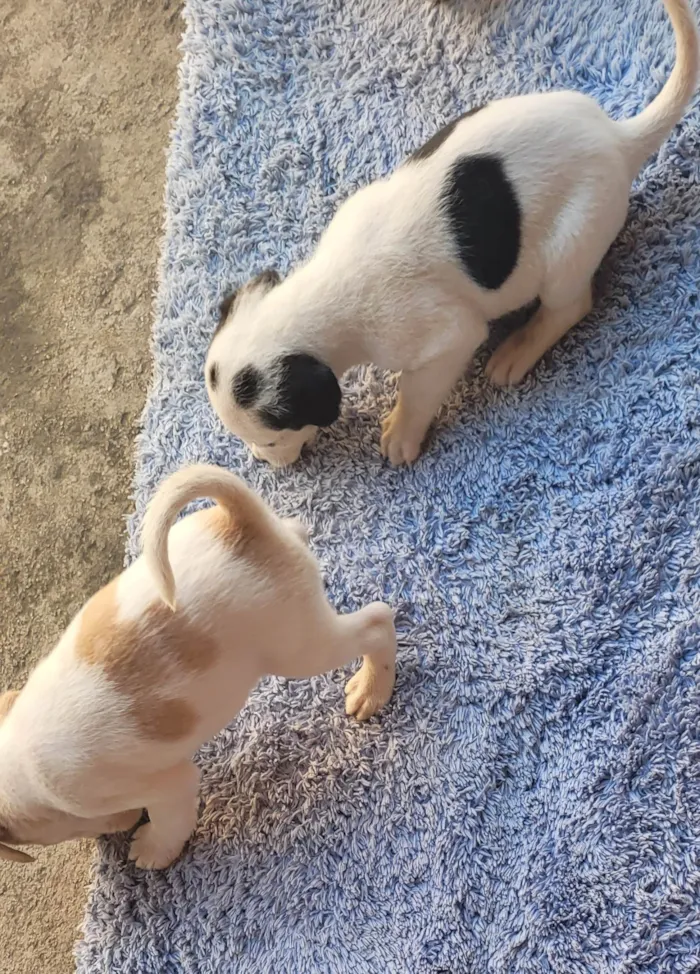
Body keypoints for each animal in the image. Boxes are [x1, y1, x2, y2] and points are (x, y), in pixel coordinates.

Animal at [0, 466, 394, 868]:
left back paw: (371, 690)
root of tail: (239, 523)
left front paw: (153, 850)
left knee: (378, 621)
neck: (22, 767)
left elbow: (169, 819)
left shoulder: (167, 785)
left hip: (301, 648)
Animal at [208, 0, 700, 468]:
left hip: (571, 244)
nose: (264, 462)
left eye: (271, 438)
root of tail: (619, 139)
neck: (323, 293)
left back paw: (517, 350)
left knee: (569, 305)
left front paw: (401, 432)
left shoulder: (445, 338)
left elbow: (419, 389)